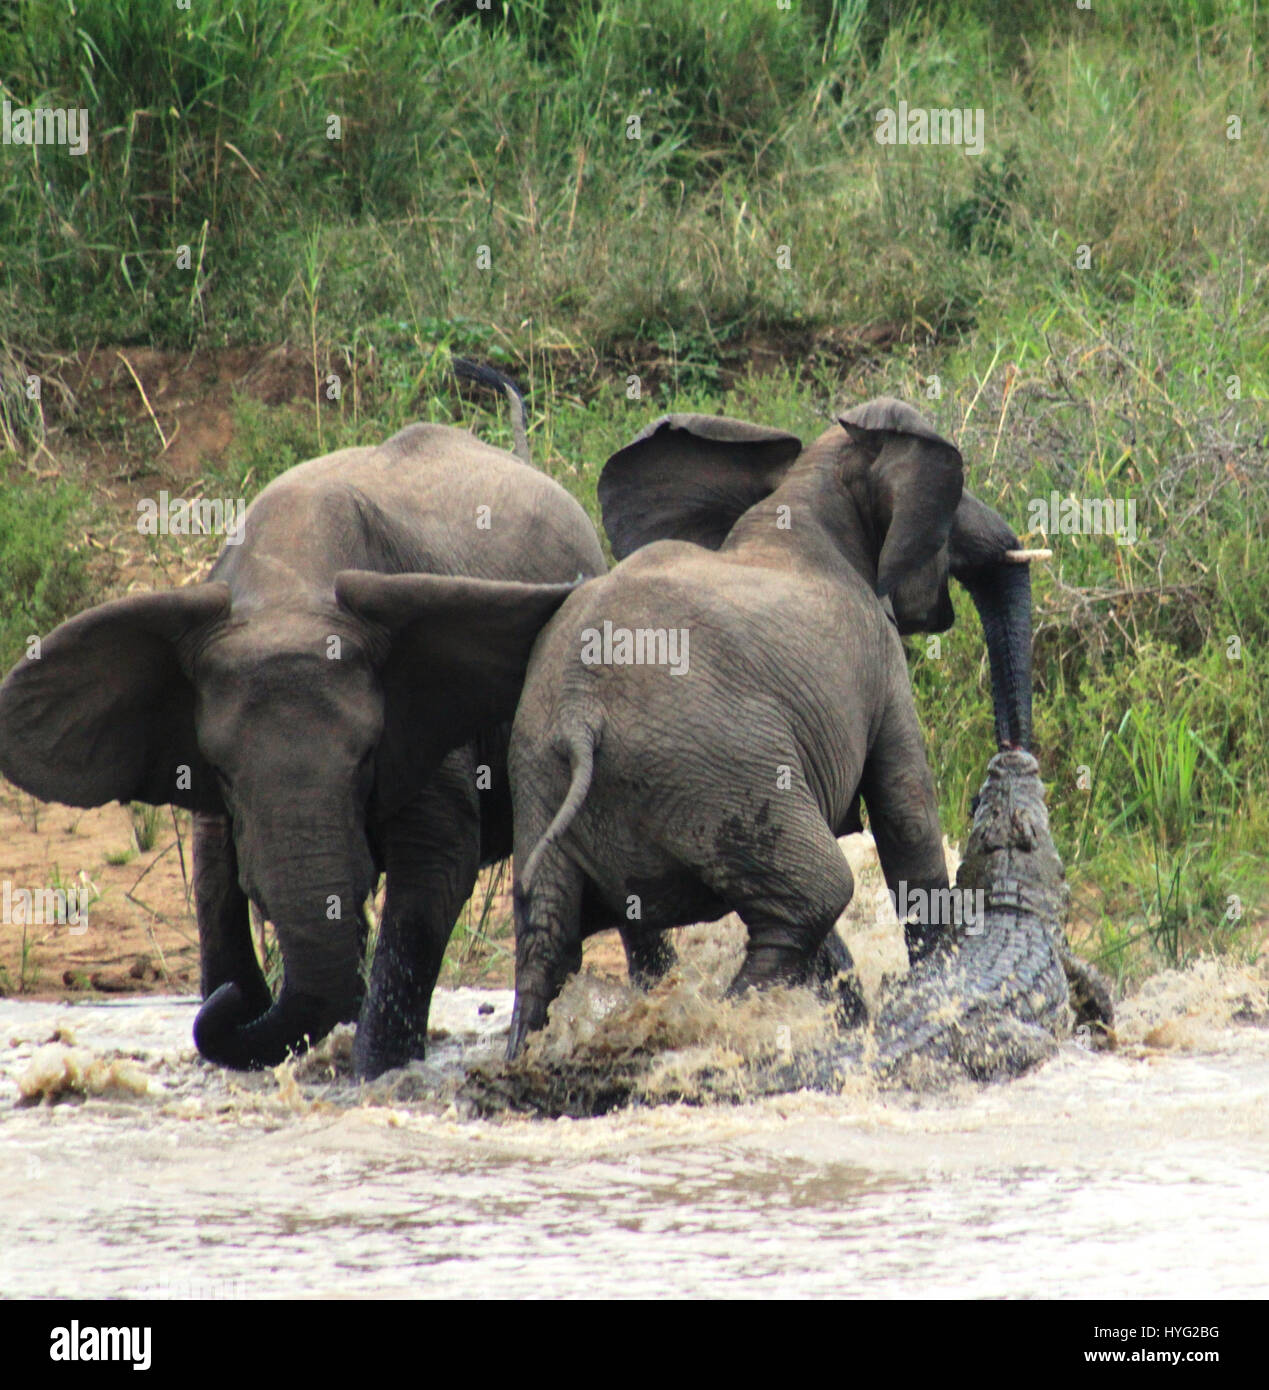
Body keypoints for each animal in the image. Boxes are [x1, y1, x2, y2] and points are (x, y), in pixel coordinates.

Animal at [0, 366, 606, 1073]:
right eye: (223, 772)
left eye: (367, 758)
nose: (237, 999)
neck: (287, 591)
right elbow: (213, 877)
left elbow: (436, 864)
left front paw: (374, 1073)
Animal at [478, 394, 1039, 1050]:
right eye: (956, 494)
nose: (1010, 755)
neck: (809, 489)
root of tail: (579, 714)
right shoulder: (878, 658)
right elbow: (906, 813)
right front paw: (938, 988)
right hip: (718, 768)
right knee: (813, 896)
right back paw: (737, 1023)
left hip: (541, 772)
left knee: (548, 936)